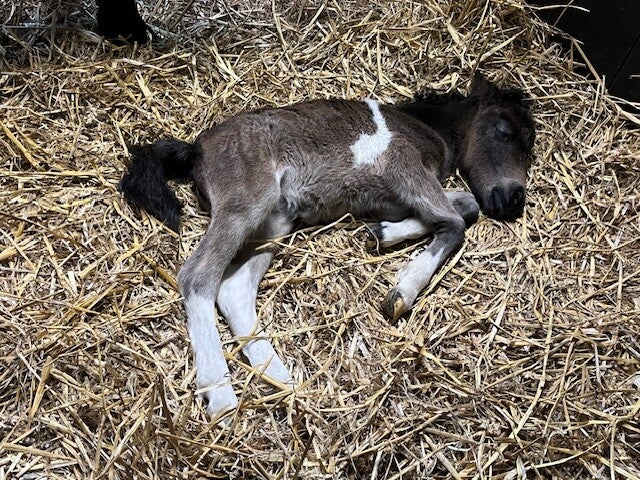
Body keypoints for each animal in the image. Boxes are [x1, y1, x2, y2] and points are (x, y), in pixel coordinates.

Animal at [120, 72, 535, 419]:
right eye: (503, 131)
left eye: (531, 143)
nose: (513, 199)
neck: (426, 128)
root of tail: (197, 150)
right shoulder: (405, 170)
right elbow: (455, 222)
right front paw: (403, 290)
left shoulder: (394, 197)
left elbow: (465, 205)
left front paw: (383, 233)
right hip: (247, 202)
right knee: (198, 276)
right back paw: (220, 393)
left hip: (275, 221)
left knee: (234, 289)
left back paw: (280, 377)